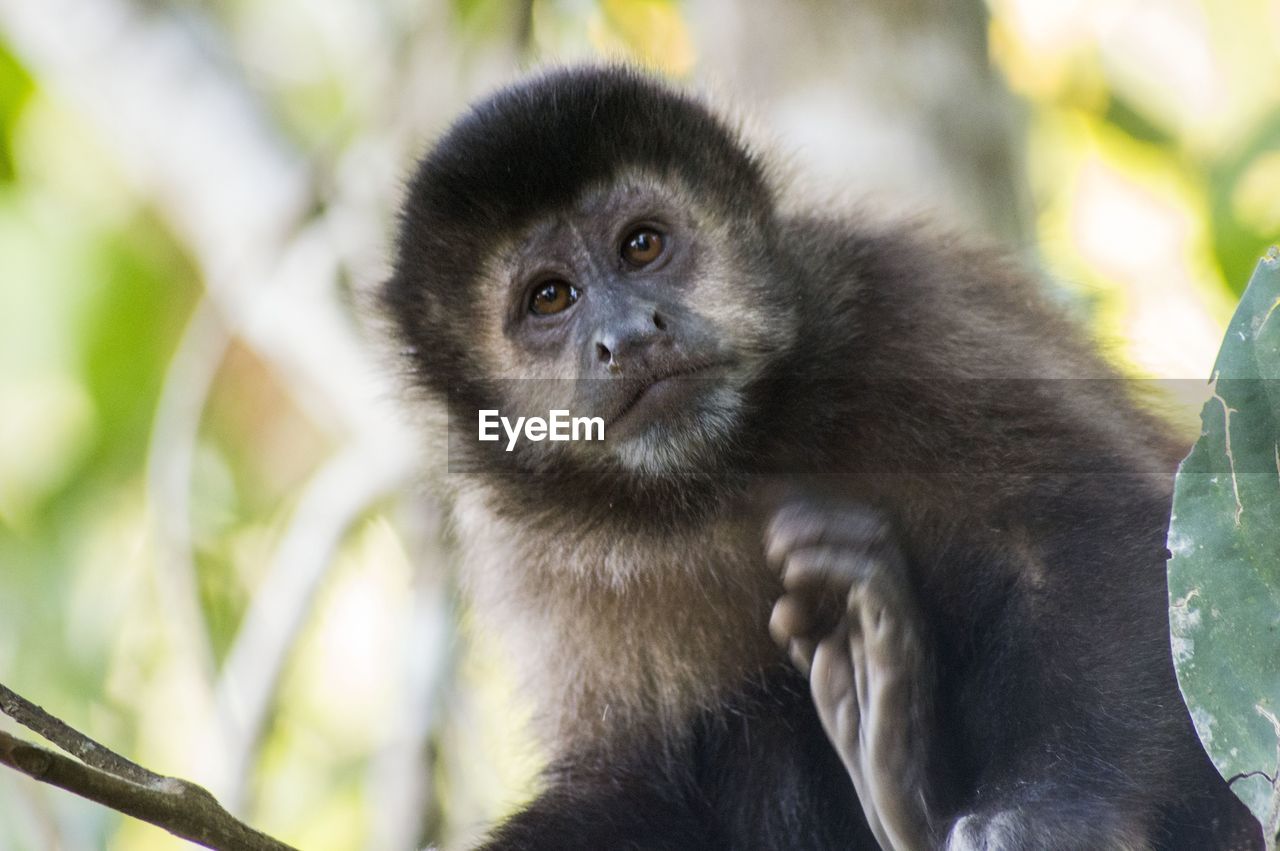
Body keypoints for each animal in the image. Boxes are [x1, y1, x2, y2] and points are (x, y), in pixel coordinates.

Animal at [376, 63, 1259, 844]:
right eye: (549, 297)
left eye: (641, 246)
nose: (626, 334)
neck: (724, 472)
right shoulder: (530, 552)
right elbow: (632, 780)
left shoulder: (903, 309)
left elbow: (1097, 532)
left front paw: (1052, 813)